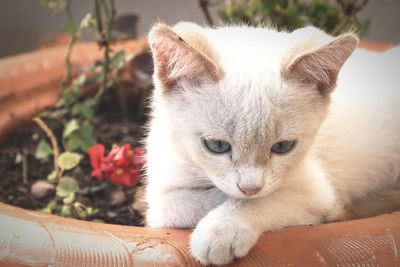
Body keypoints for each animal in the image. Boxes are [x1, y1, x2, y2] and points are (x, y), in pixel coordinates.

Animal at [144, 22, 400, 266]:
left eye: (283, 147)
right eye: (216, 145)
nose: (250, 188)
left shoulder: (317, 191)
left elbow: (264, 200)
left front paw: (223, 229)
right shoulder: (160, 192)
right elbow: (176, 203)